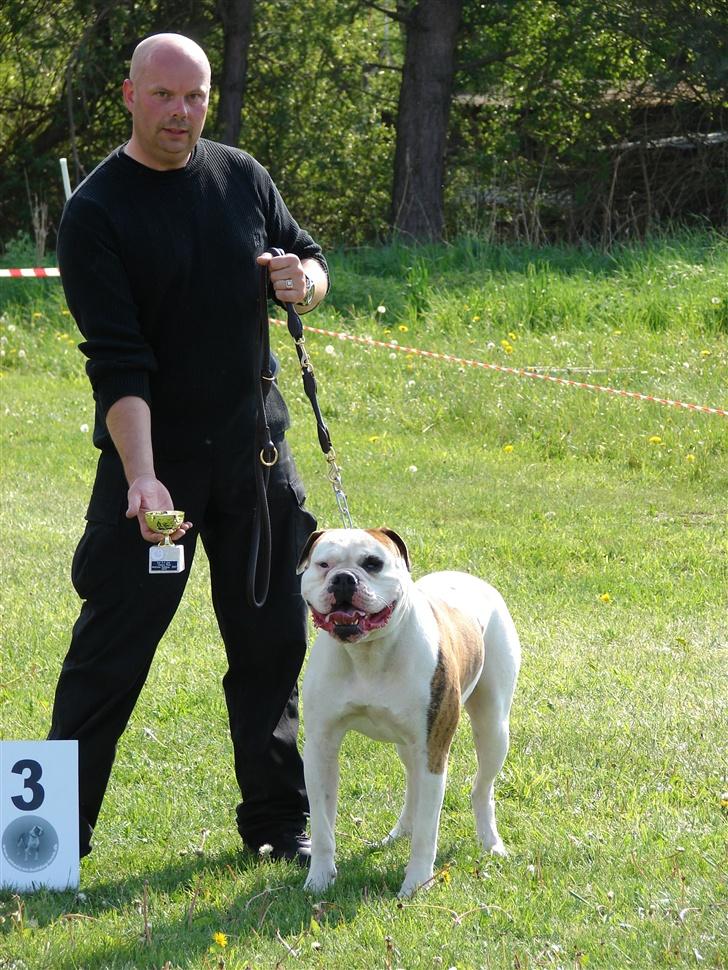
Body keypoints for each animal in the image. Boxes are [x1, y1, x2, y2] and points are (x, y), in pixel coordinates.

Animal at [298, 524, 520, 896]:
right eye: (323, 564)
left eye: (373, 563)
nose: (343, 579)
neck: (368, 654)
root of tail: (467, 577)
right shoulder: (320, 750)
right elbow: (323, 827)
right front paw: (319, 880)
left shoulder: (434, 749)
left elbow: (428, 833)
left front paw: (416, 885)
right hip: (410, 747)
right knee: (414, 786)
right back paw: (398, 833)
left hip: (492, 728)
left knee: (482, 789)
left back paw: (490, 843)